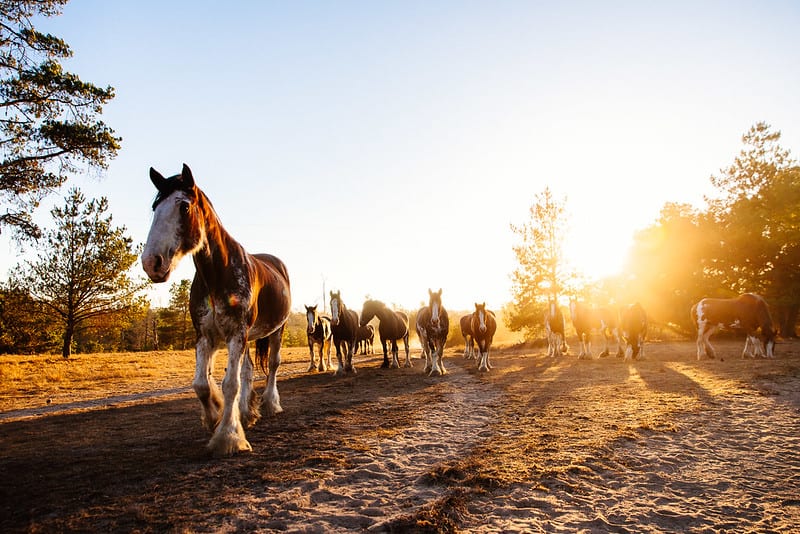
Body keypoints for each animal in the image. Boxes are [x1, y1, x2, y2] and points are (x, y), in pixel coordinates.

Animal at [141, 165, 290, 458]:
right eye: (155, 207)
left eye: (184, 206)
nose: (152, 262)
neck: (219, 272)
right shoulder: (206, 335)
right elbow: (202, 384)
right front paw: (215, 417)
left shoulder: (235, 334)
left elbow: (230, 384)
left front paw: (228, 437)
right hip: (248, 337)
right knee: (248, 371)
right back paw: (246, 413)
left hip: (275, 331)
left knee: (273, 365)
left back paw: (269, 404)